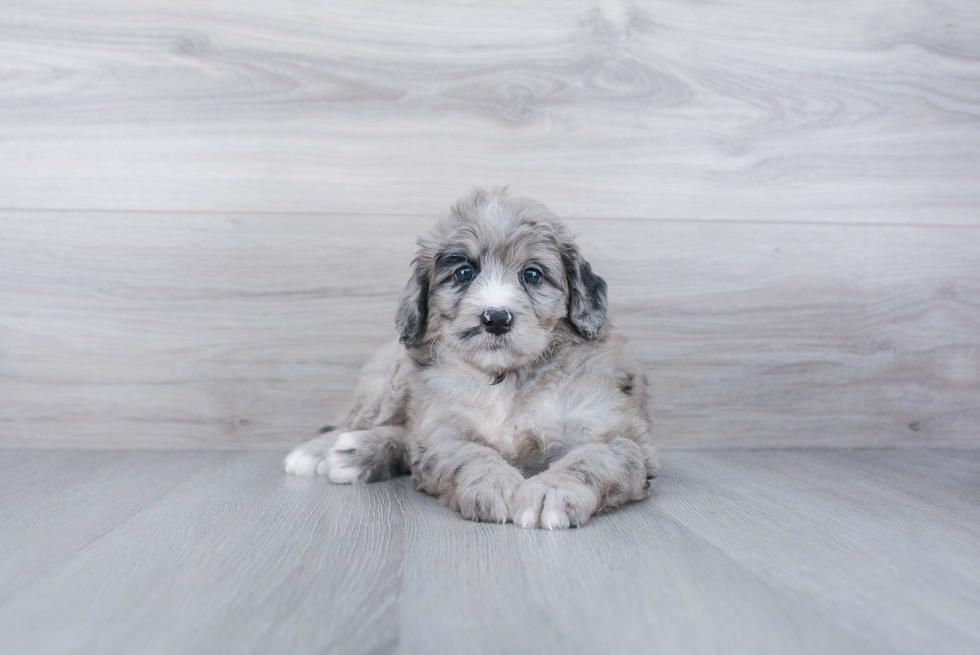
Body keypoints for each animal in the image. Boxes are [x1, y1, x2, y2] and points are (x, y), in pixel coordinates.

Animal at [288, 188, 664, 528]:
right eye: (463, 273)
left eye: (532, 274)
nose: (496, 318)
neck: (506, 379)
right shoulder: (441, 432)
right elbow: (470, 453)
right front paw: (493, 483)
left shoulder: (619, 434)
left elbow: (590, 457)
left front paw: (551, 492)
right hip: (388, 380)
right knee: (363, 422)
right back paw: (325, 451)